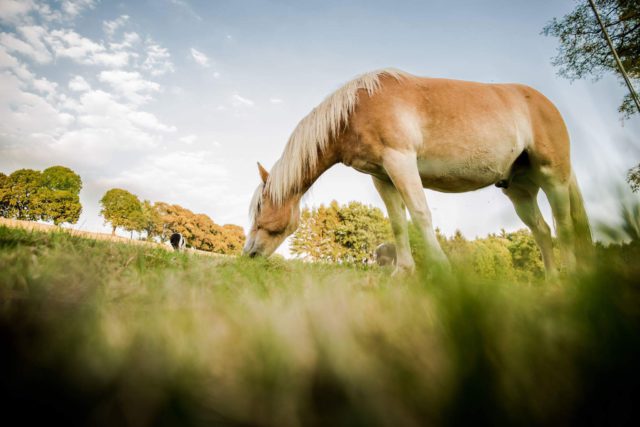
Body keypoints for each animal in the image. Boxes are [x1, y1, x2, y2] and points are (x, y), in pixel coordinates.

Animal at [244, 69, 592, 278]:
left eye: (259, 210)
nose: (249, 254)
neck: (357, 108)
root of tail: (547, 105)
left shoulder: (400, 161)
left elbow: (421, 214)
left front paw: (441, 269)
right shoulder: (382, 176)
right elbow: (399, 222)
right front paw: (403, 272)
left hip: (553, 177)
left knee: (563, 226)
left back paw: (572, 277)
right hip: (519, 190)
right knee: (542, 231)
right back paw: (551, 280)